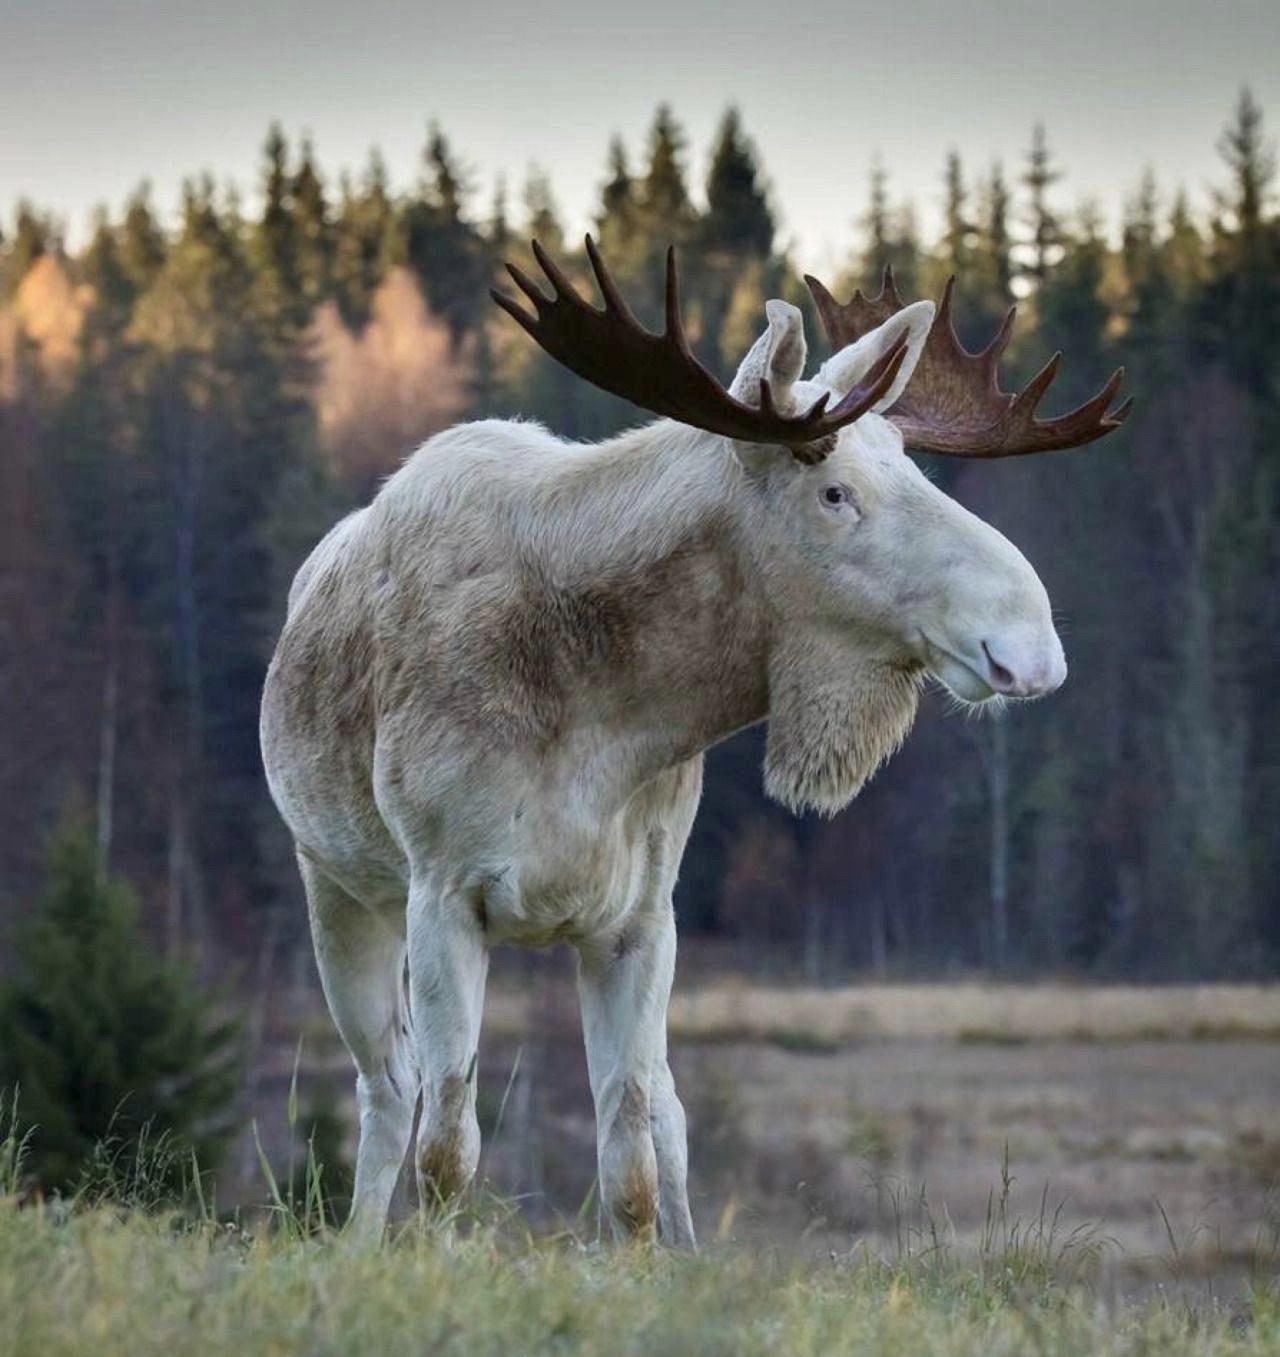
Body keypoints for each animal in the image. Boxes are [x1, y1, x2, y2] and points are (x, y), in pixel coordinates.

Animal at [260, 238, 1129, 1243]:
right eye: (835, 492)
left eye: (917, 472)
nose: (1031, 643)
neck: (602, 723)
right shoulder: (444, 890)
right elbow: (447, 1146)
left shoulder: (642, 915)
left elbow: (632, 1154)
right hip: (336, 884)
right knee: (385, 1085)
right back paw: (361, 1235)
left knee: (668, 1111)